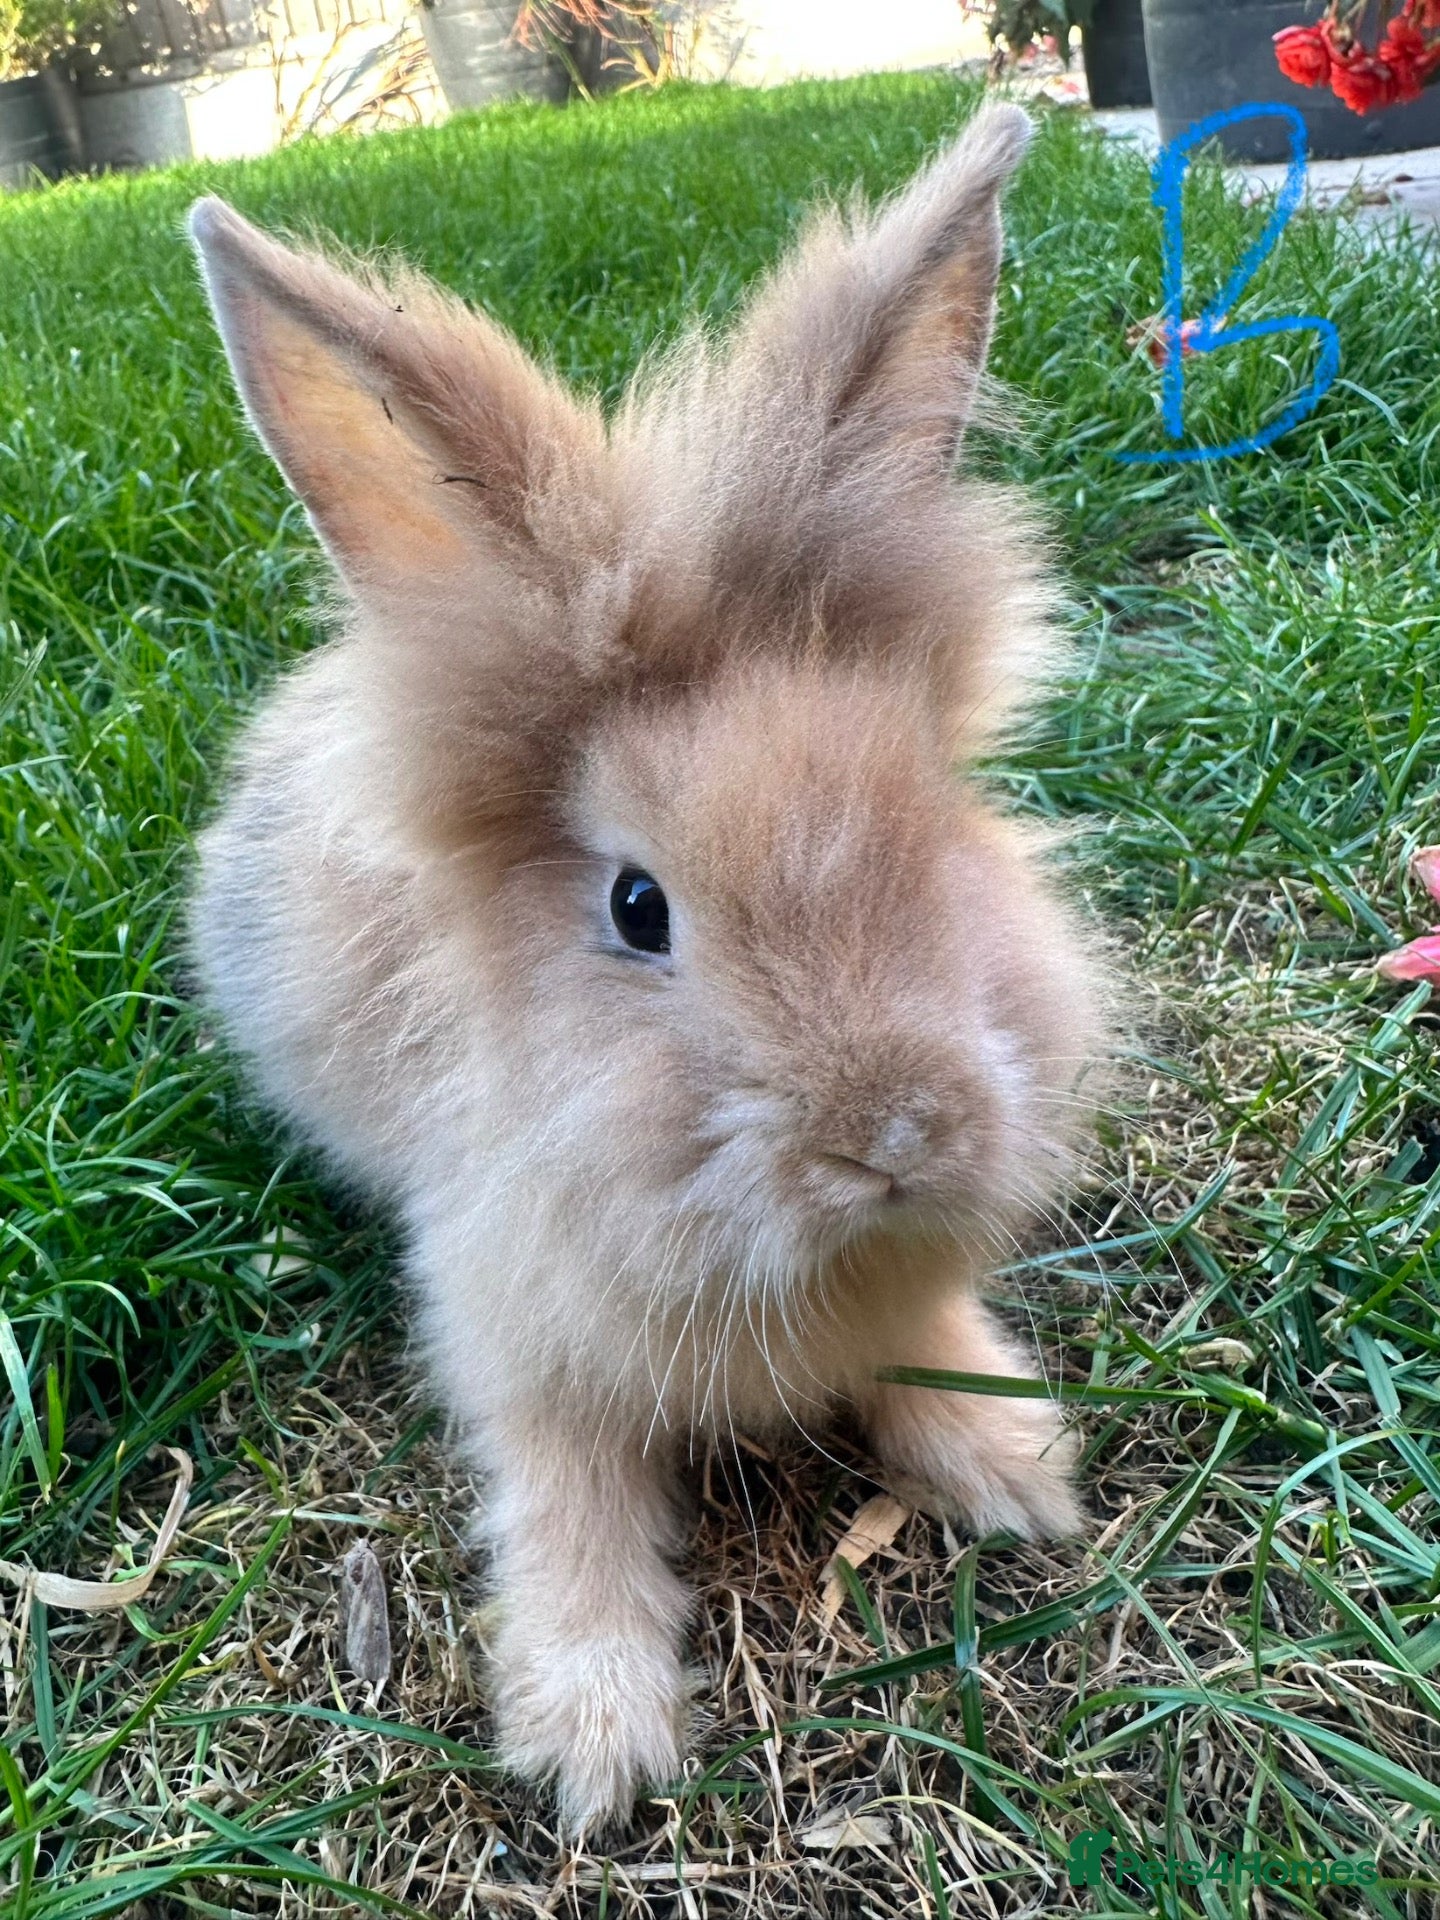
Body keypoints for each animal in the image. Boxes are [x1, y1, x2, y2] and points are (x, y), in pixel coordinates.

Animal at [187, 101, 1111, 1831]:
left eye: (935, 824)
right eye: (637, 907)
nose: (895, 1135)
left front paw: (1016, 1474)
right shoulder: (517, 1342)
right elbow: (568, 1509)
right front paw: (594, 1747)